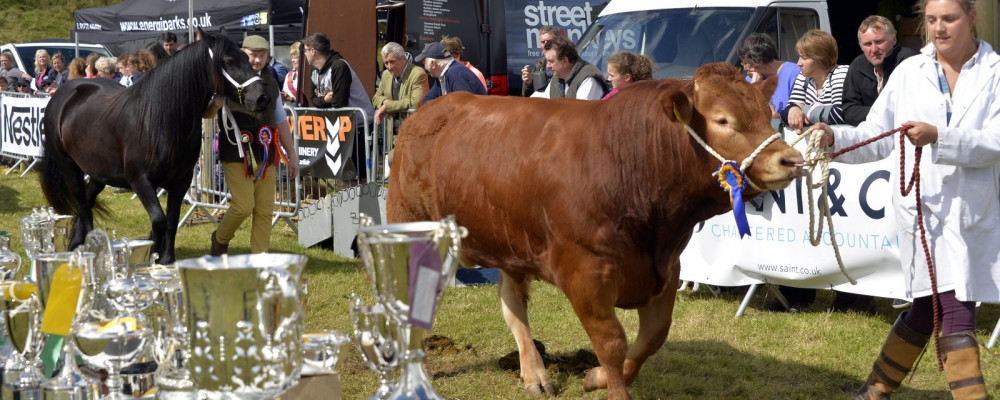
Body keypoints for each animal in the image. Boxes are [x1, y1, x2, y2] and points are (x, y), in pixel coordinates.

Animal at [41, 28, 268, 266]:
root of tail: (65, 92)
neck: (160, 121)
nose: (262, 97)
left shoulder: (181, 181)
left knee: (87, 199)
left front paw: (166, 260)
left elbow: (172, 220)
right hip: (69, 166)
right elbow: (159, 220)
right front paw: (152, 256)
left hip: (98, 172)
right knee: (83, 205)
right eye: (229, 61)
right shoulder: (140, 181)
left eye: (247, 59)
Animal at [384, 63, 804, 400]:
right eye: (722, 120)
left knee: (511, 301)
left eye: (767, 114)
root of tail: (427, 111)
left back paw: (534, 373)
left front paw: (596, 377)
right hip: (411, 229)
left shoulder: (666, 269)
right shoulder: (584, 273)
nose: (792, 159)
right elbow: (613, 342)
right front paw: (612, 385)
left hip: (510, 241)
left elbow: (652, 338)